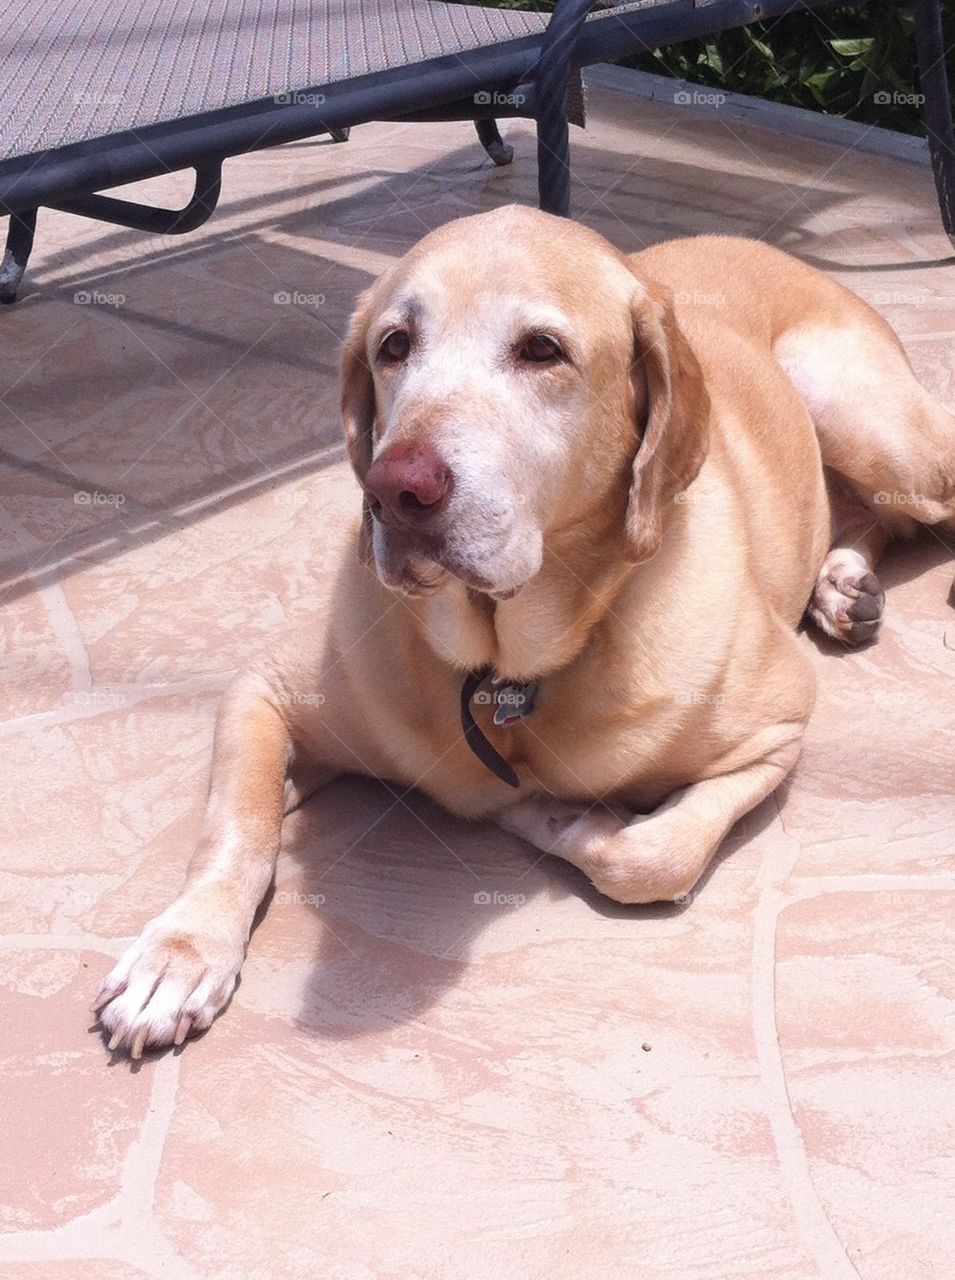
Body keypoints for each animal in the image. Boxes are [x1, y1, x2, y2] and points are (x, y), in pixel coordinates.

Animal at [92, 204, 947, 1054]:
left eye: (542, 350)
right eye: (393, 346)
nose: (394, 489)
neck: (500, 671)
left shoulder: (779, 724)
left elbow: (654, 855)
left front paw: (560, 816)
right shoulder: (263, 692)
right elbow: (235, 826)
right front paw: (182, 950)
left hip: (874, 431)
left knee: (915, 508)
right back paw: (842, 582)